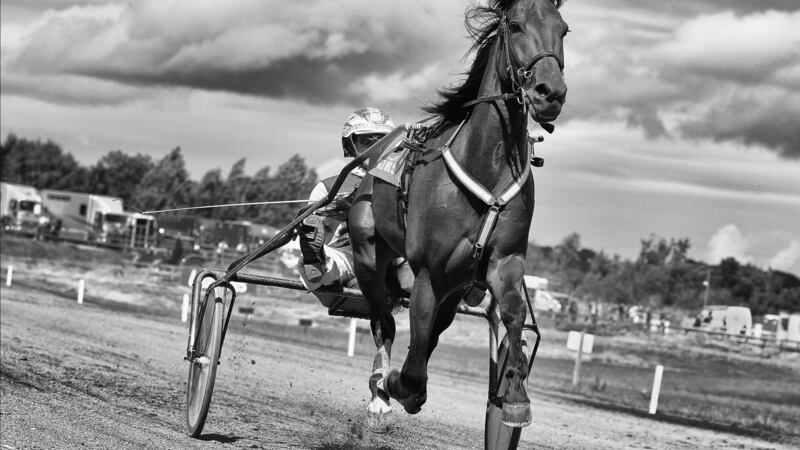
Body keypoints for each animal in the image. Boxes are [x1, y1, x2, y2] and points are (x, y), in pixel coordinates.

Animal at [349, 0, 569, 429]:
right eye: (515, 25)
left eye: (563, 29)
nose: (550, 92)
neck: (487, 164)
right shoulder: (429, 273)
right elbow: (413, 360)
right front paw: (399, 385)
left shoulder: (504, 261)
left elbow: (514, 313)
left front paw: (515, 395)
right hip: (368, 255)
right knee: (384, 322)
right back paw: (381, 390)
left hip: (456, 287)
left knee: (427, 332)